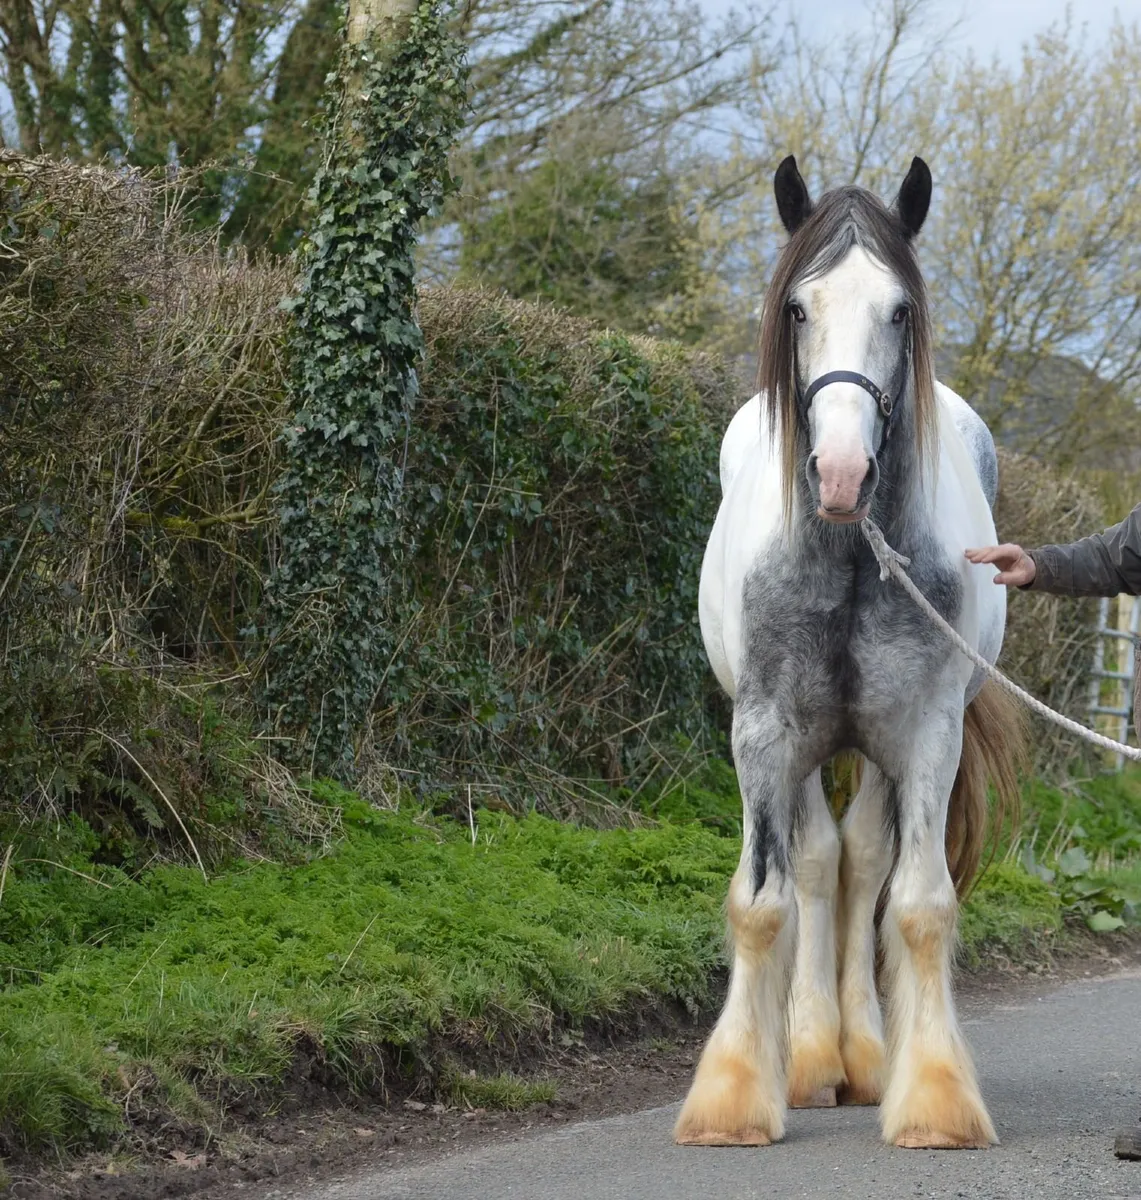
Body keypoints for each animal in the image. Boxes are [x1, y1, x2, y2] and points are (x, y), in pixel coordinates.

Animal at [675, 156, 1024, 1151]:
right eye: (798, 307)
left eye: (899, 310)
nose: (839, 474)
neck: (848, 555)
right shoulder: (760, 733)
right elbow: (762, 901)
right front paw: (733, 1099)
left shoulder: (924, 737)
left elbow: (916, 904)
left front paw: (934, 1098)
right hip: (799, 748)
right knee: (816, 862)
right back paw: (808, 1056)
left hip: (871, 749)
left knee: (860, 859)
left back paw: (861, 1055)